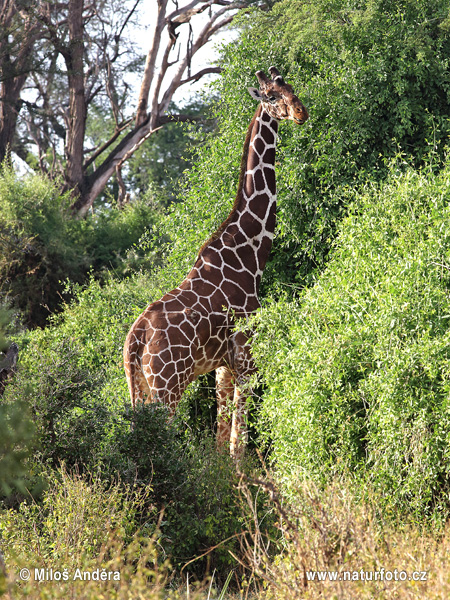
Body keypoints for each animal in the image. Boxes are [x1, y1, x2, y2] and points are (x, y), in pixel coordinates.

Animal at [123, 65, 308, 458]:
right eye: (272, 96)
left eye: (292, 88)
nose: (301, 113)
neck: (249, 253)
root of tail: (136, 338)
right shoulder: (247, 357)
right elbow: (238, 442)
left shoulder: (221, 367)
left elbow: (222, 440)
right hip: (168, 385)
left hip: (140, 386)